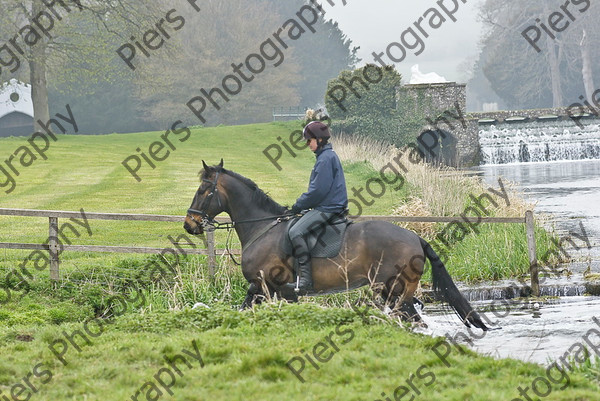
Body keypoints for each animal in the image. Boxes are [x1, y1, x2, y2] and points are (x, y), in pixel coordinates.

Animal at [185, 159, 490, 332]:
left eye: (202, 190)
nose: (189, 224)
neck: (263, 227)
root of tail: (415, 237)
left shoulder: (265, 286)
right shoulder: (272, 291)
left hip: (393, 289)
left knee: (410, 316)